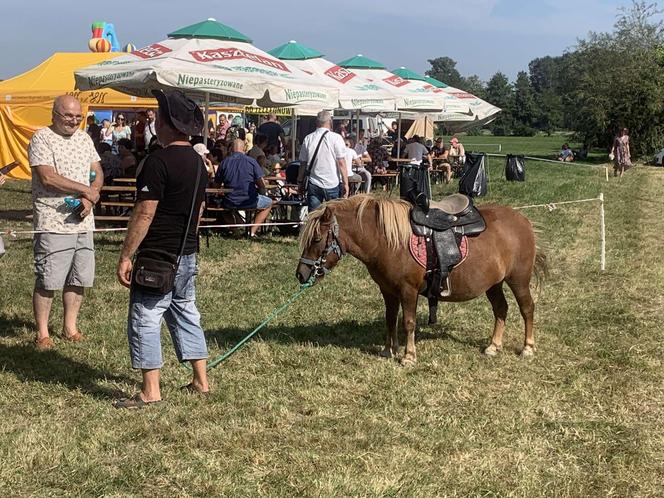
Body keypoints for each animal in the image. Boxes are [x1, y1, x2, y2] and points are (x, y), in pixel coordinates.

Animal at [298, 196, 548, 366]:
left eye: (317, 238)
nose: (301, 274)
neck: (388, 241)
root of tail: (523, 220)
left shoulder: (408, 290)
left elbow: (408, 322)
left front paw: (409, 356)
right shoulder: (388, 291)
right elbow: (390, 320)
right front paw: (388, 350)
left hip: (518, 279)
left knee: (527, 308)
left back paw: (528, 347)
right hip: (494, 284)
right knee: (501, 309)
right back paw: (494, 346)